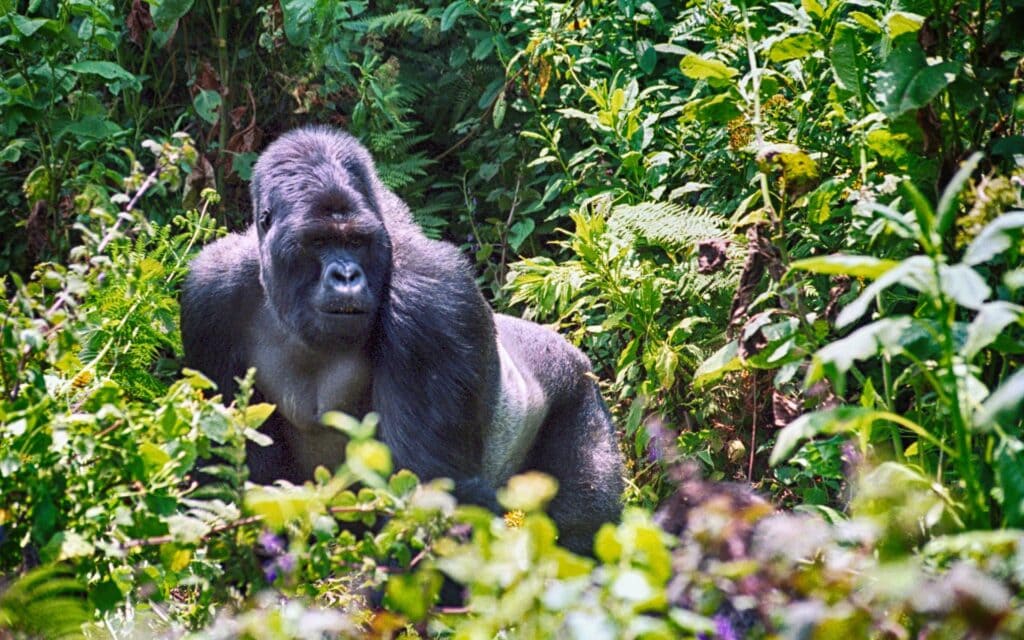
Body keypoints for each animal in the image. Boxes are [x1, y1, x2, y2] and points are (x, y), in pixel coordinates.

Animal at [180, 126, 623, 554]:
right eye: (318, 241)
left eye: (356, 242)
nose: (346, 276)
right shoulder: (209, 293)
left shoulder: (430, 298)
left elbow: (429, 493)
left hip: (580, 393)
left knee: (581, 533)